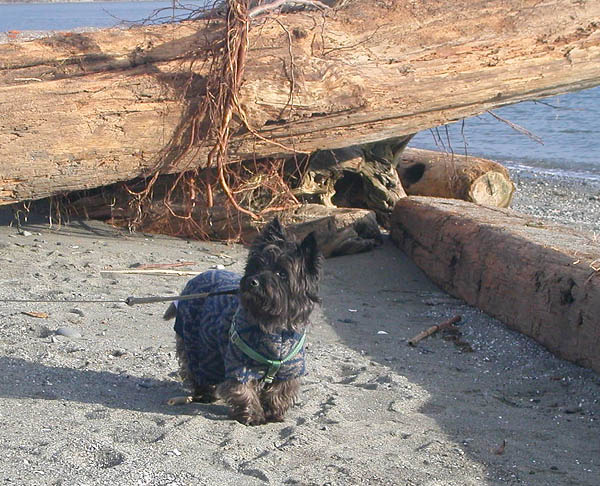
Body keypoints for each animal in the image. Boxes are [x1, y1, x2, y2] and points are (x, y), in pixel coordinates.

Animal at [163, 218, 324, 424]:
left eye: (282, 273)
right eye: (257, 266)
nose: (253, 282)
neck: (274, 327)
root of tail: (195, 280)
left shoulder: (290, 368)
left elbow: (280, 391)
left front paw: (274, 412)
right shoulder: (240, 364)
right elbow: (242, 390)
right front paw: (253, 415)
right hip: (197, 344)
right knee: (196, 370)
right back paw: (204, 393)